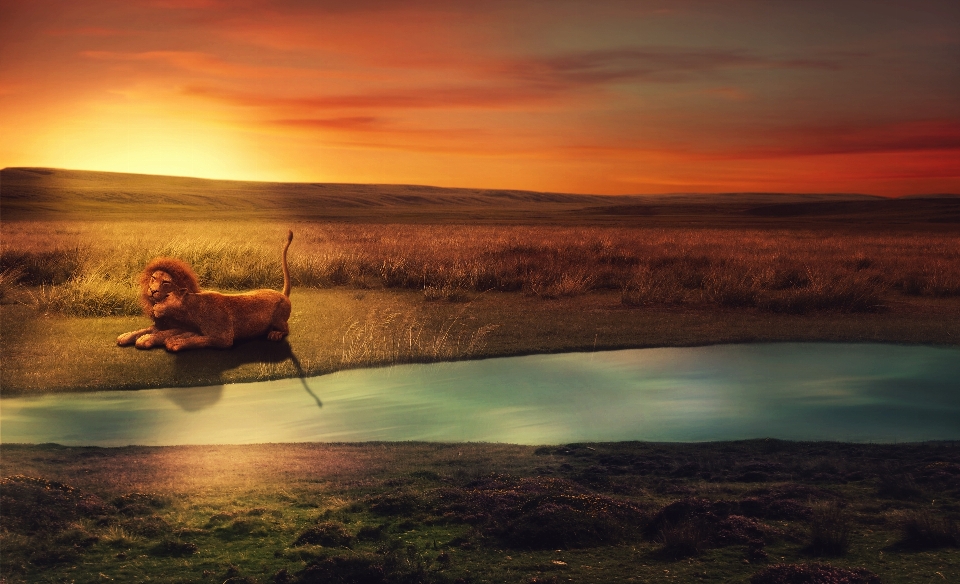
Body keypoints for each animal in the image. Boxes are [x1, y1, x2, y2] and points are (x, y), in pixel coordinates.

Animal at [127, 230, 294, 352]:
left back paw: (275, 333)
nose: (153, 295)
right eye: (153, 279)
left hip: (279, 319)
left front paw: (174, 342)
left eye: (167, 295)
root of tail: (282, 294)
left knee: (286, 328)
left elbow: (198, 339)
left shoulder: (224, 338)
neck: (191, 309)